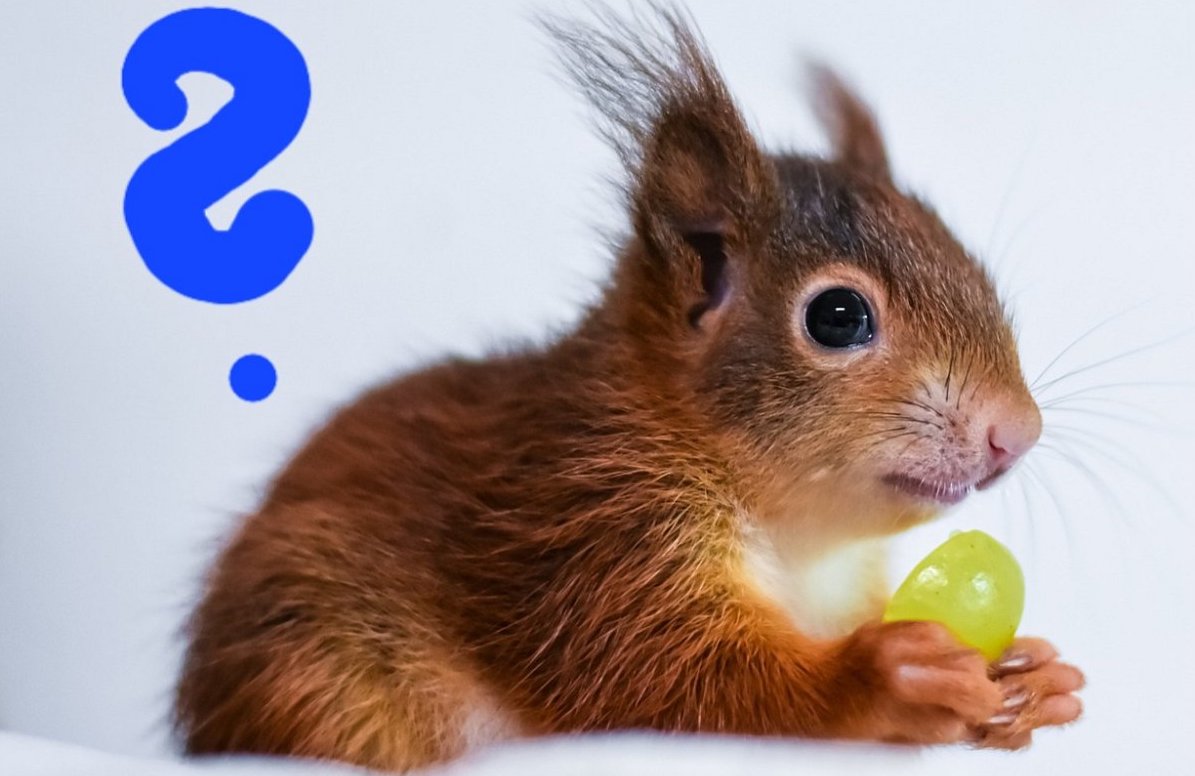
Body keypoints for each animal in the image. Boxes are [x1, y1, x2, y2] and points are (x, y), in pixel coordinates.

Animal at [175, 6, 1084, 772]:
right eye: (836, 316)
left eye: (967, 263)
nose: (1016, 432)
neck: (796, 534)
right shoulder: (588, 537)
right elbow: (666, 678)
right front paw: (884, 678)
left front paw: (1032, 680)